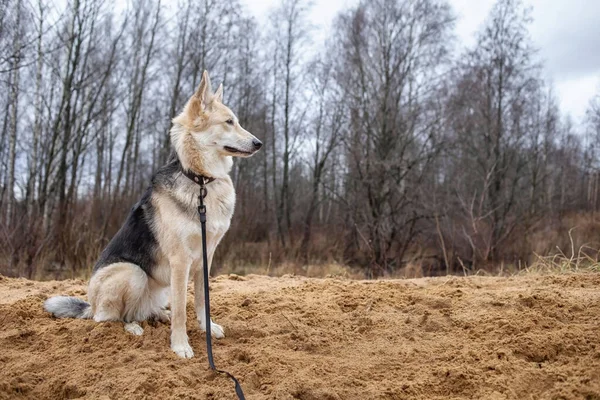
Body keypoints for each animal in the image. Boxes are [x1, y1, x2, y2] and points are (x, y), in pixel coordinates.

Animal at [43, 72, 264, 360]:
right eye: (229, 122)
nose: (259, 143)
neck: (200, 181)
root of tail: (90, 305)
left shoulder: (206, 257)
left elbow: (201, 301)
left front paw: (207, 328)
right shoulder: (181, 261)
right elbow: (182, 310)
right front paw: (180, 345)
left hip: (159, 288)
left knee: (141, 310)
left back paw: (158, 315)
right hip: (133, 273)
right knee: (110, 318)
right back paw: (133, 328)